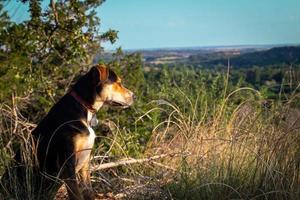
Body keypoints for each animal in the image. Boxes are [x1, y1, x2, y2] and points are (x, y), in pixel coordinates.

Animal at [0, 65, 135, 199]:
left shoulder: (85, 162)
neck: (84, 108)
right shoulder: (68, 163)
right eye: (118, 83)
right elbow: (76, 194)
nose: (135, 96)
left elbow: (88, 190)